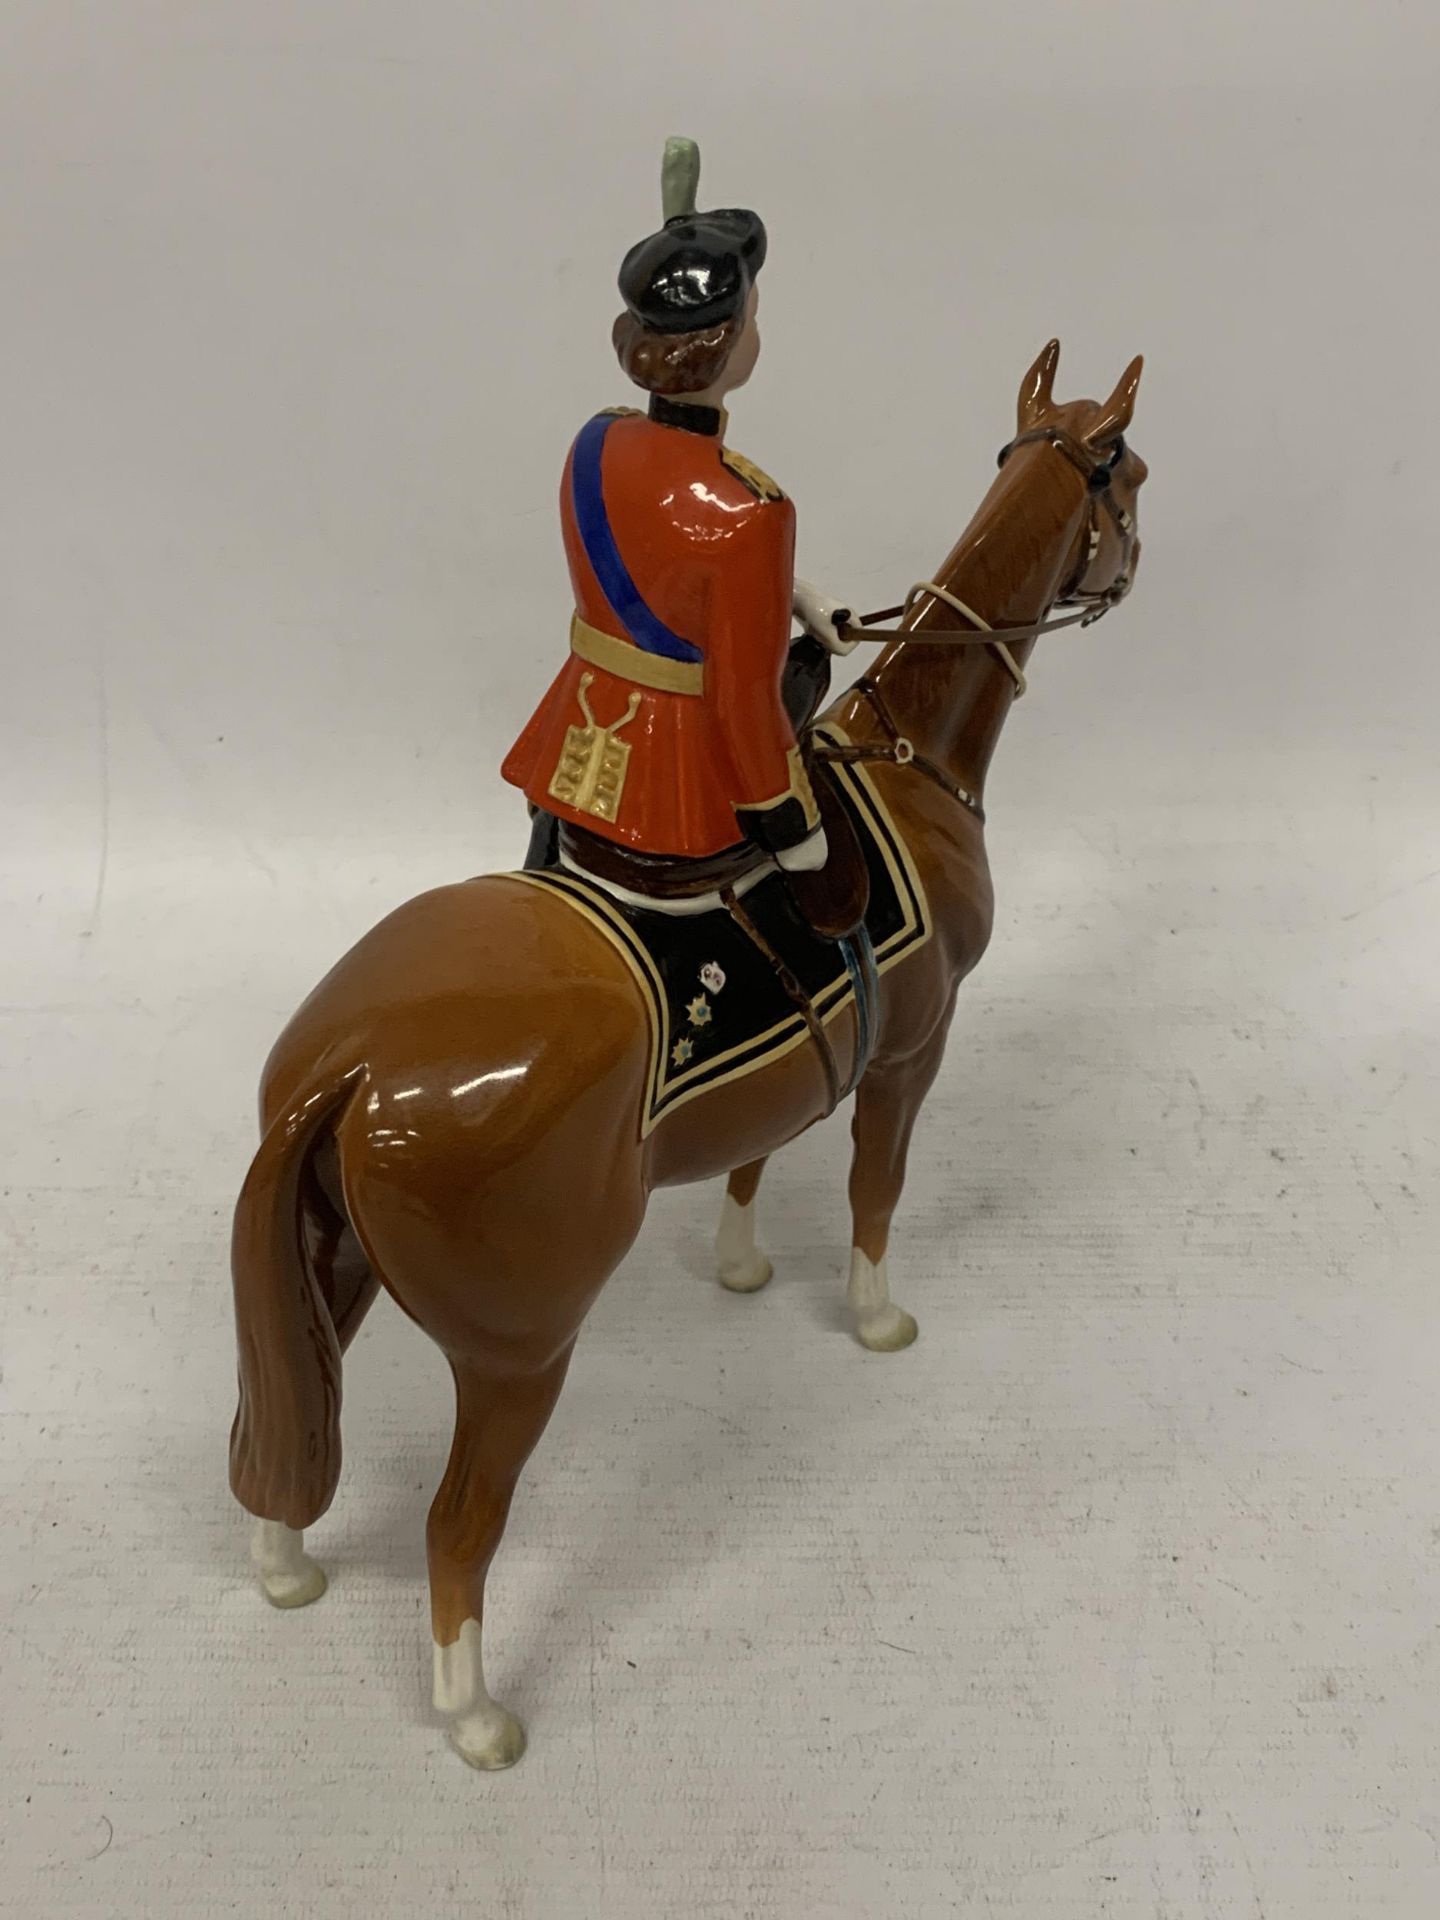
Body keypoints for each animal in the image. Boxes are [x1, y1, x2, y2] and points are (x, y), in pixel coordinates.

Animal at [228, 341, 1152, 1766]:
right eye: (1130, 478)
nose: (1134, 565)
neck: (905, 755)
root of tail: (360, 1064)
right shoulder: (915, 1050)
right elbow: (875, 1187)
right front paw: (874, 1315)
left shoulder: (819, 1049)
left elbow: (761, 1154)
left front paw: (741, 1266)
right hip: (519, 1354)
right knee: (456, 1527)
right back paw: (474, 1716)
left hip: (330, 1263)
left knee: (284, 1407)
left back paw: (287, 1571)